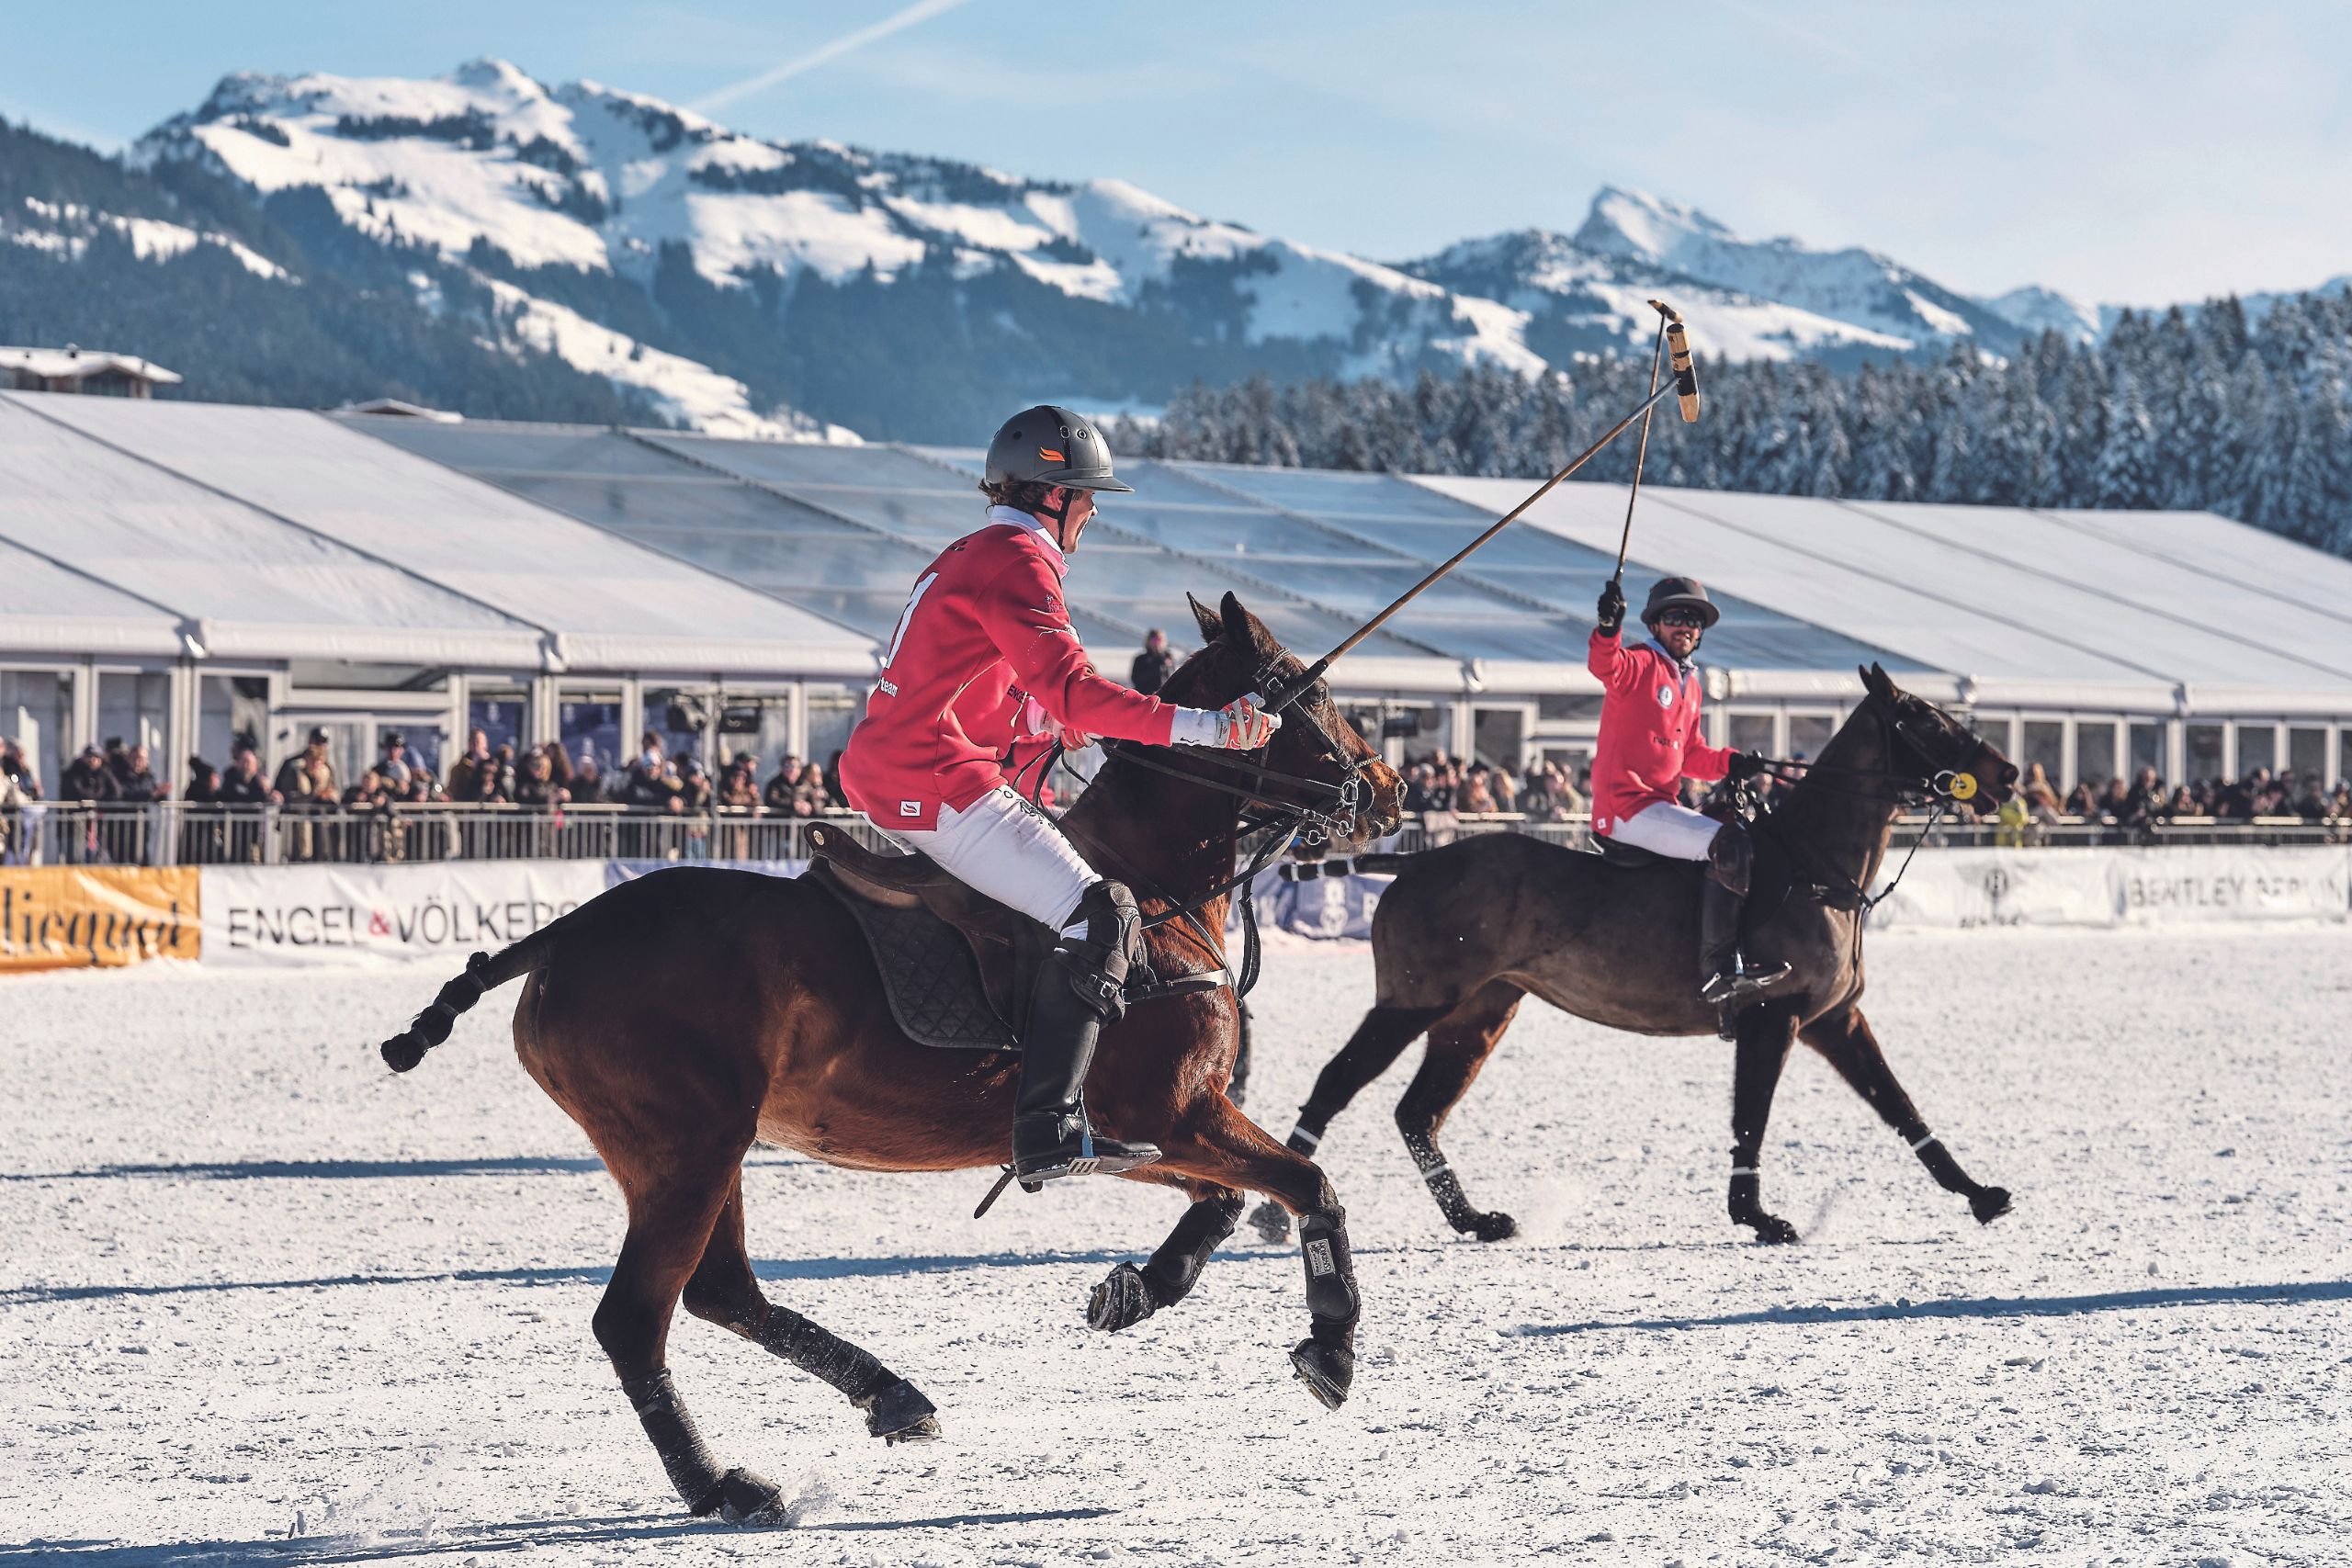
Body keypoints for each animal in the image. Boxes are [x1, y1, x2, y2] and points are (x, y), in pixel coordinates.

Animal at [368, 594, 1392, 1523]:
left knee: (721, 1289)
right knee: (636, 1316)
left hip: (694, 1148)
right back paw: (722, 1485)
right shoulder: (1174, 1111)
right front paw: (1332, 1349)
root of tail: (564, 932)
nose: (1387, 790)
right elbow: (1308, 1181)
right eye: (1315, 690)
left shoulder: (1133, 1133)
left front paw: (1133, 1291)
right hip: (685, 1145)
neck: (1158, 891)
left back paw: (889, 1395)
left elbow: (1223, 1202)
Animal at [1250, 662, 2022, 1250]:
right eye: (1925, 717)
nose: (2010, 773)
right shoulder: (1774, 1014)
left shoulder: (1836, 1019)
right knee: (1338, 1082)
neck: (1815, 867)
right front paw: (1758, 1216)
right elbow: (1753, 1115)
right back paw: (1274, 1213)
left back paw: (1475, 1219)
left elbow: (1901, 1106)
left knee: (1417, 1112)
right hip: (1414, 998)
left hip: (1481, 1010)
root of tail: (1412, 859)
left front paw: (1982, 1195)